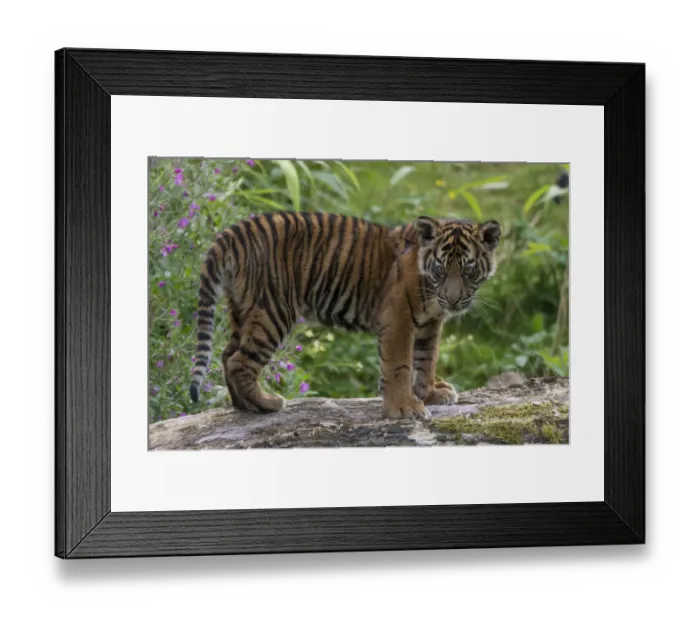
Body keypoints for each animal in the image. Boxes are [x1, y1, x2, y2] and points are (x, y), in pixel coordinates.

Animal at [189, 212, 501, 420]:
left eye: (468, 270)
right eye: (440, 269)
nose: (453, 299)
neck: (431, 288)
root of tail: (235, 231)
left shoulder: (429, 323)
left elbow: (427, 359)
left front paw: (431, 393)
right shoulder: (398, 318)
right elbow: (400, 365)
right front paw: (404, 408)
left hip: (242, 310)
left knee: (227, 355)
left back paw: (244, 406)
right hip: (272, 310)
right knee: (239, 362)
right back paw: (268, 404)